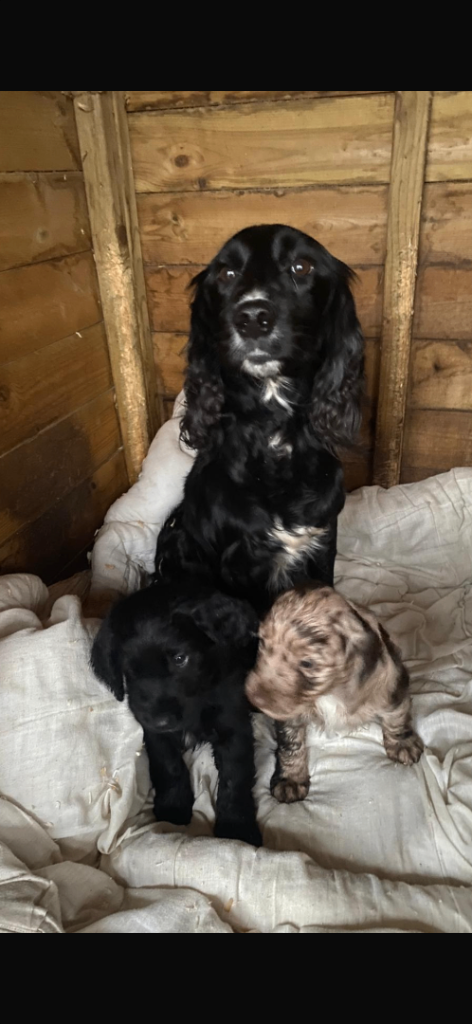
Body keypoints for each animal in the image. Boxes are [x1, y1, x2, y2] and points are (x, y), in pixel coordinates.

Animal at [91, 580, 262, 846]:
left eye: (181, 658)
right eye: (130, 669)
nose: (162, 721)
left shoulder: (234, 724)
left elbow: (235, 775)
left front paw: (237, 827)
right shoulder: (154, 732)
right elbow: (169, 765)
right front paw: (173, 807)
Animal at [245, 585, 423, 803]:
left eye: (307, 663)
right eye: (262, 643)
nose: (254, 697)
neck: (329, 692)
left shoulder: (392, 683)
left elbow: (397, 716)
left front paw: (402, 744)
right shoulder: (290, 713)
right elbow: (291, 745)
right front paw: (291, 779)